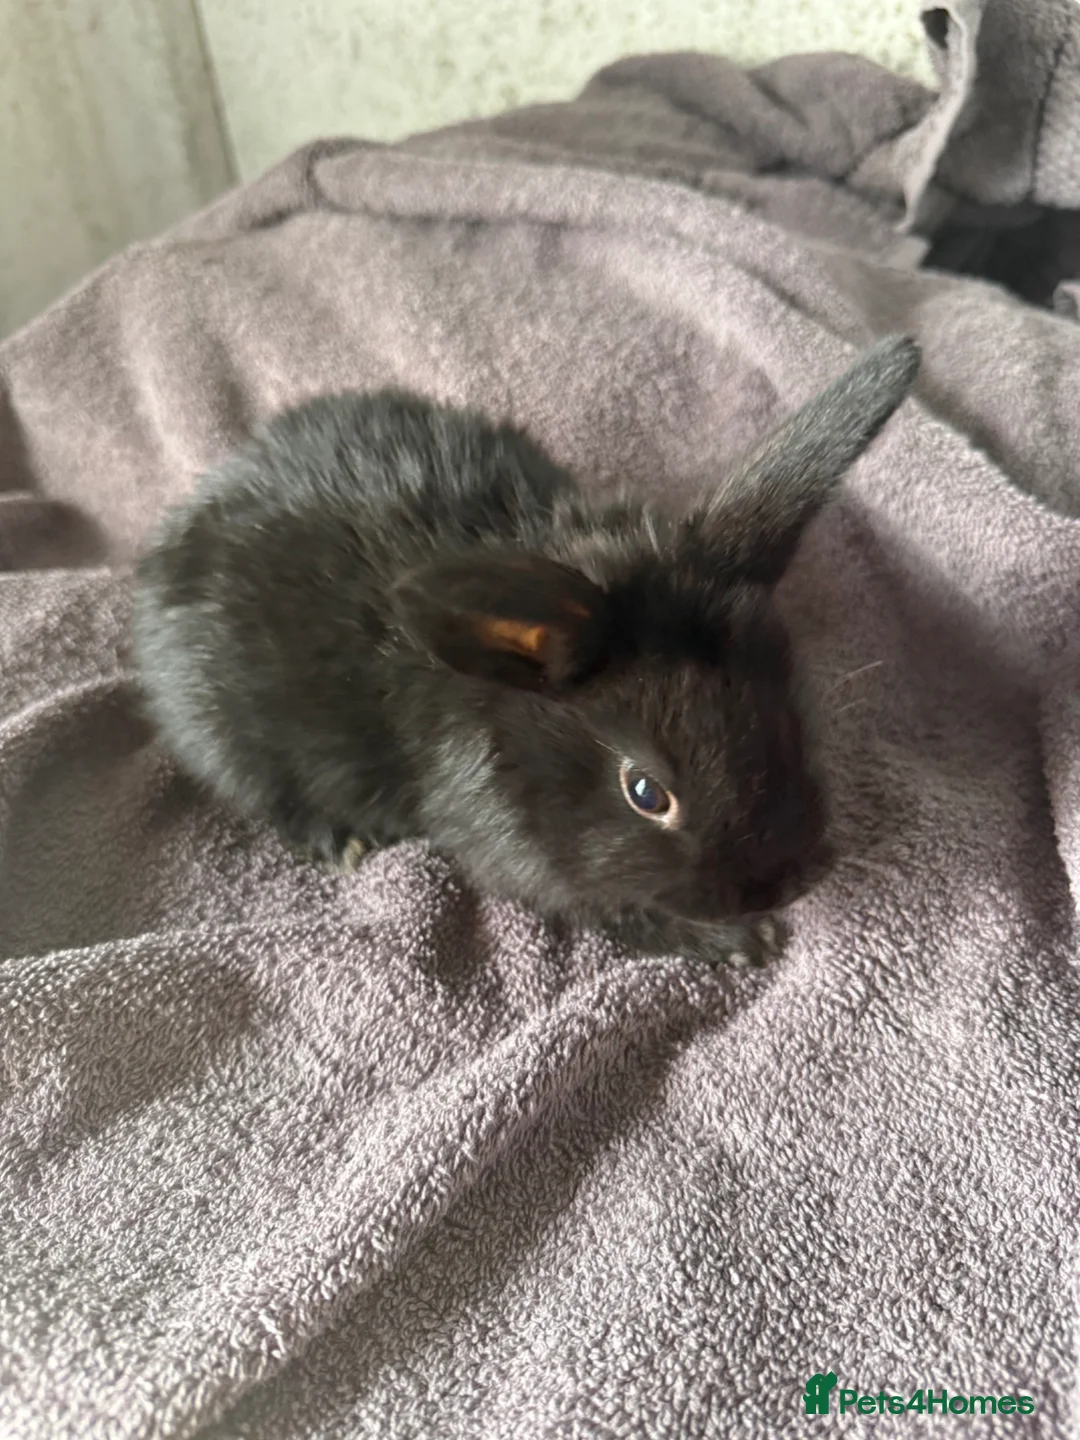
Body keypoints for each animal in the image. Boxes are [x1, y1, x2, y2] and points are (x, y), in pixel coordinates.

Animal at [131, 334, 920, 967]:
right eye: (646, 793)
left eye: (791, 716)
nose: (789, 880)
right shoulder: (526, 863)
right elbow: (617, 911)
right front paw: (741, 941)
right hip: (228, 738)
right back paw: (342, 841)